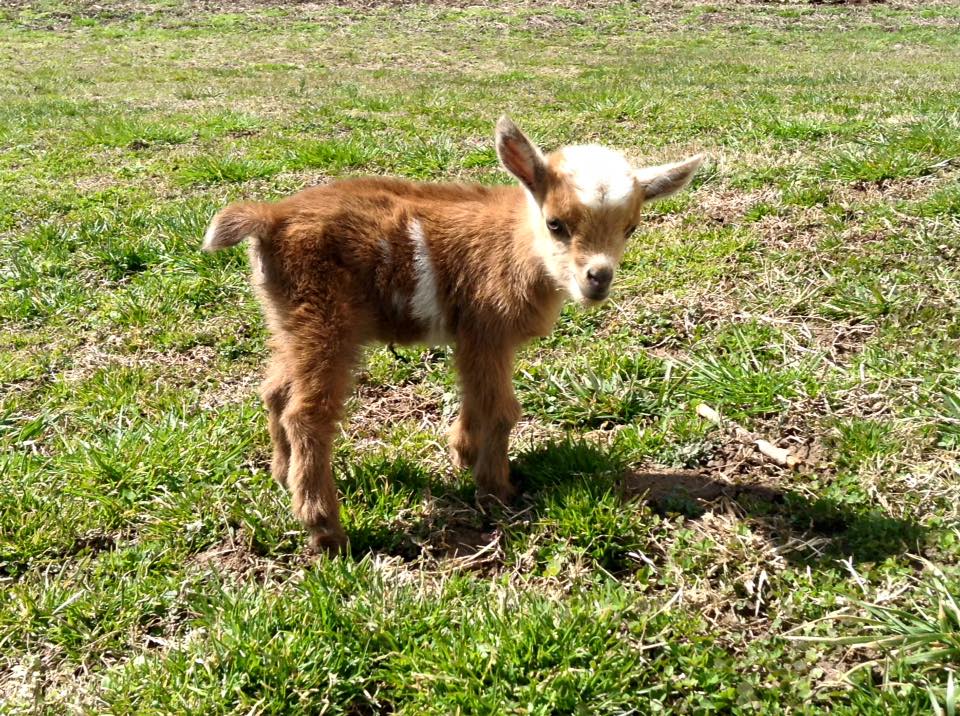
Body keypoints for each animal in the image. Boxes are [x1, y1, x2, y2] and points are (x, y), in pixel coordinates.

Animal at [202, 116, 702, 553]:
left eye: (630, 228)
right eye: (556, 224)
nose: (597, 279)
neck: (518, 248)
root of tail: (269, 218)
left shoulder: (473, 336)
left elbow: (475, 398)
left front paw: (463, 455)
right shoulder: (487, 328)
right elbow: (501, 410)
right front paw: (497, 490)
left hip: (286, 318)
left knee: (275, 390)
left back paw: (281, 474)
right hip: (324, 319)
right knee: (309, 414)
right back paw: (324, 528)